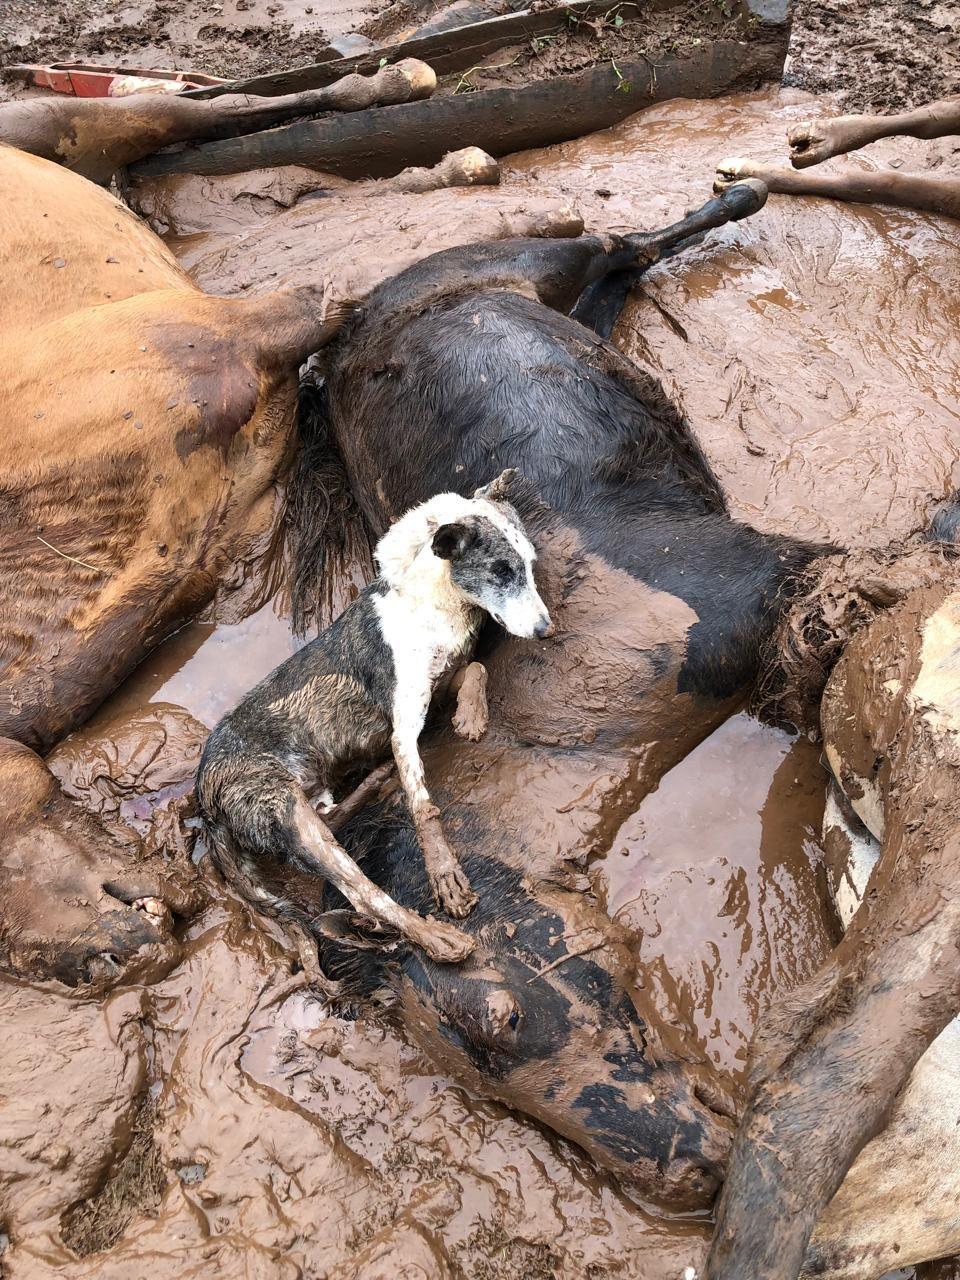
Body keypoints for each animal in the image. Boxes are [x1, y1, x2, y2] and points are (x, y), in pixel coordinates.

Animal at [197, 476, 547, 962]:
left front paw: (471, 717)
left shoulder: (437, 688)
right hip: (285, 808)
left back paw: (377, 780)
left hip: (305, 805)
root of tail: (203, 796)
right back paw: (435, 937)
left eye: (530, 565)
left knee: (334, 820)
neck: (435, 602)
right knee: (364, 895)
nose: (546, 630)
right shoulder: (403, 724)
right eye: (500, 570)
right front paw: (444, 876)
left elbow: (476, 668)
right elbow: (423, 808)